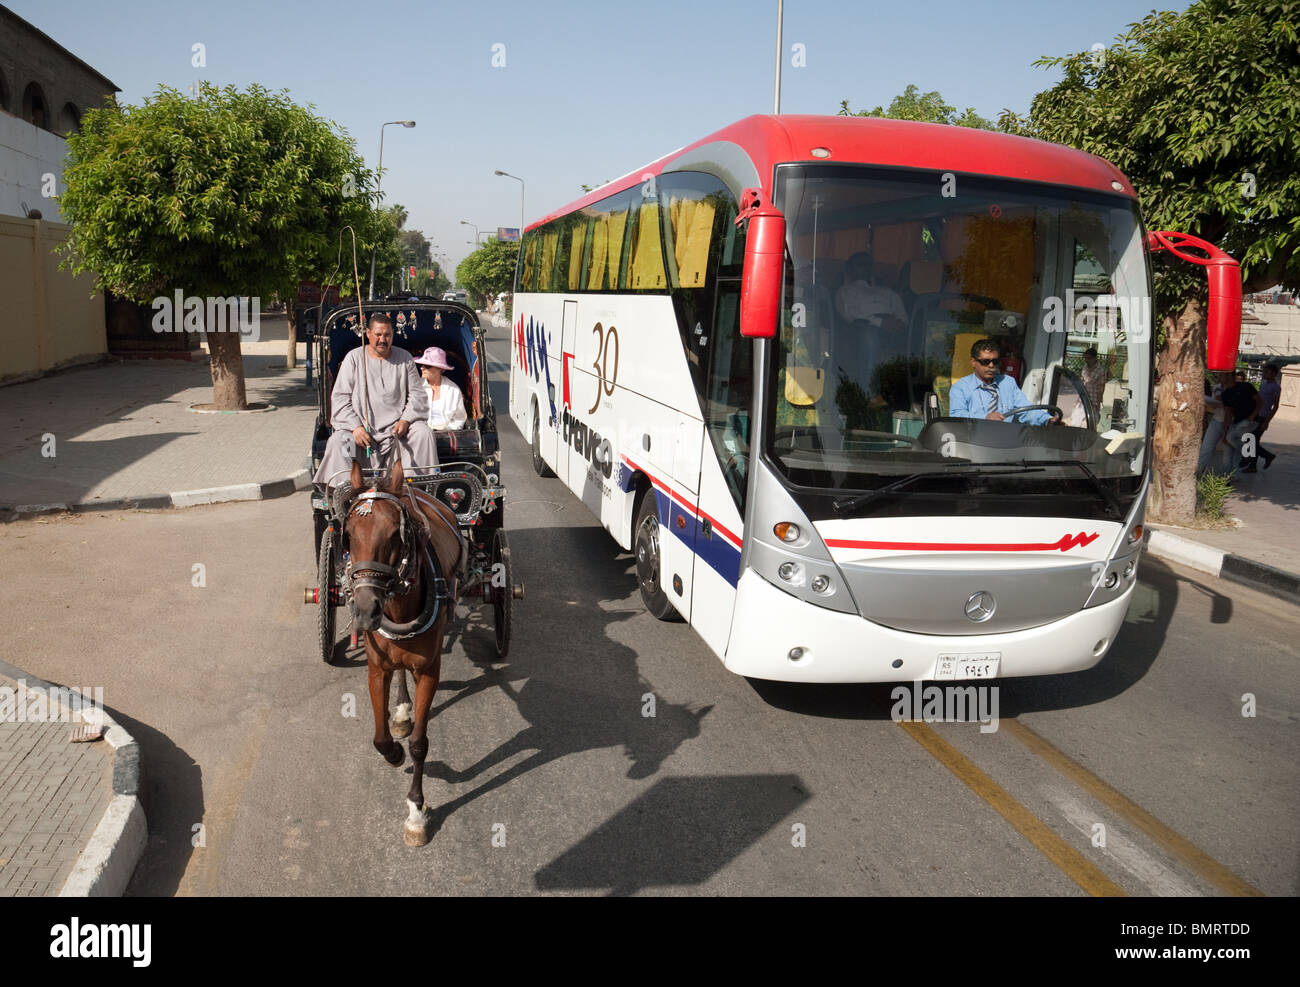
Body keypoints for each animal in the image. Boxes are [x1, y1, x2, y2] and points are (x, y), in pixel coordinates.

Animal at [343, 460, 465, 847]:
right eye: (348, 534)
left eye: (395, 536)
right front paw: (393, 751)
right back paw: (400, 710)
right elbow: (380, 737)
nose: (365, 611)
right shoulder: (376, 670)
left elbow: (420, 744)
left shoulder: (429, 672)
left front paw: (416, 811)